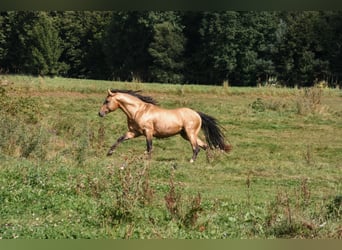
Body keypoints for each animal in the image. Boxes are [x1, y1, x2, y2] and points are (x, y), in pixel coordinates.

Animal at [99, 89, 232, 163]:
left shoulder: (148, 132)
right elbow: (120, 139)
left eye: (107, 101)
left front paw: (147, 160)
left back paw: (192, 161)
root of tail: (197, 114)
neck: (138, 111)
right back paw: (209, 161)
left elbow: (149, 147)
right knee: (205, 146)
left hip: (190, 133)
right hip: (186, 135)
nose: (100, 113)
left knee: (196, 147)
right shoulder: (134, 132)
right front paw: (109, 153)